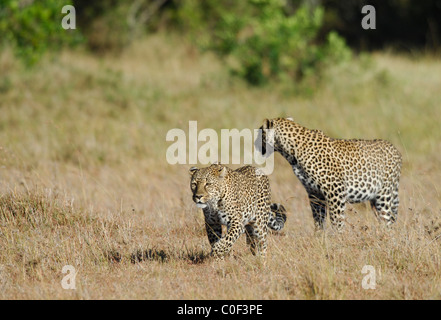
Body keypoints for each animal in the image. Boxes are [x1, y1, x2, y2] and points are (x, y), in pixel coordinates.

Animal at [254, 117, 402, 230]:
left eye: (260, 133)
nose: (254, 144)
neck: (290, 152)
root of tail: (395, 149)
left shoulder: (335, 191)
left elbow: (337, 220)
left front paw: (338, 239)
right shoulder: (314, 193)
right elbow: (318, 219)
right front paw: (319, 238)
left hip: (384, 195)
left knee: (388, 219)